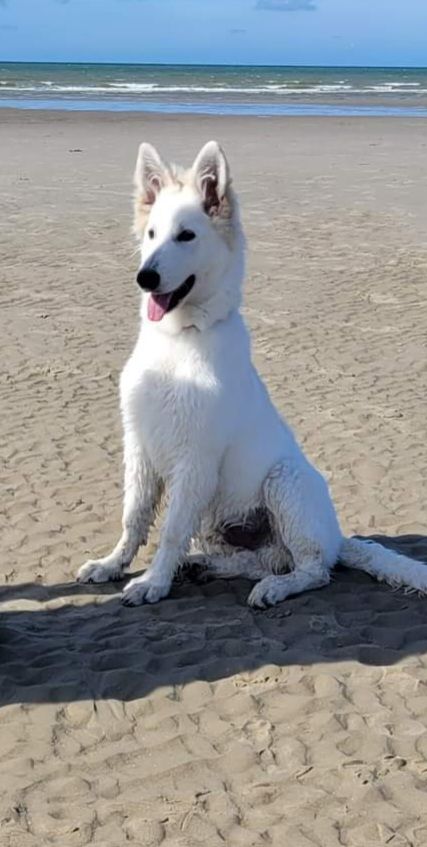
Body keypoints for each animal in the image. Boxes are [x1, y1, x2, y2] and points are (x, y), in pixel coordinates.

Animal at [77, 139, 427, 608]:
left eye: (186, 235)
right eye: (151, 234)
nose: (145, 277)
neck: (180, 339)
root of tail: (338, 538)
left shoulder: (195, 462)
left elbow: (169, 532)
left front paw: (153, 582)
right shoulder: (140, 448)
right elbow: (133, 518)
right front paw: (113, 564)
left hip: (285, 482)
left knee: (312, 569)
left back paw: (273, 588)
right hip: (219, 520)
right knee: (262, 560)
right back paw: (205, 566)